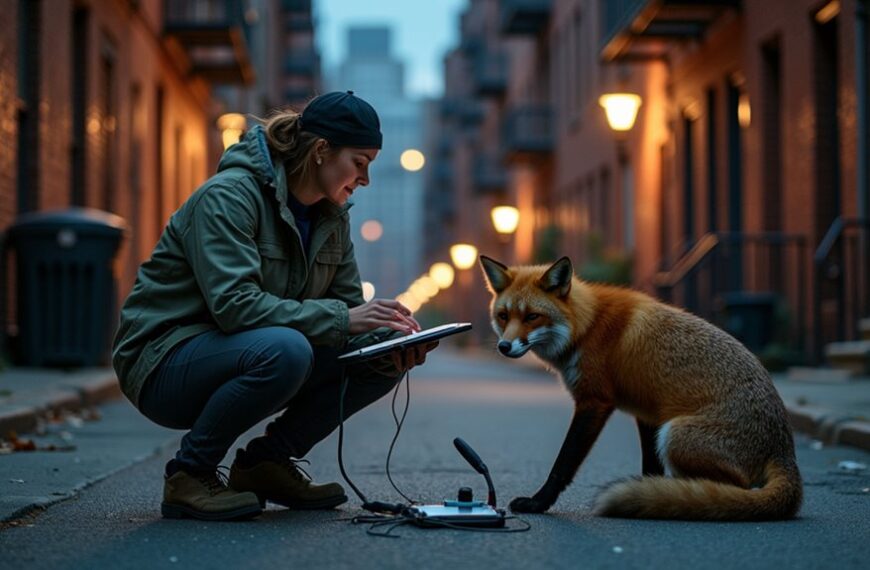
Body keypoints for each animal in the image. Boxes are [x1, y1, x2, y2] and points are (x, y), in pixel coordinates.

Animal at [479, 255, 803, 521]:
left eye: (532, 316)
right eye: (504, 316)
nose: (504, 347)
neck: (586, 326)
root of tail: (785, 447)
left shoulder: (594, 401)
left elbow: (564, 462)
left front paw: (538, 503)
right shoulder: (647, 415)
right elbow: (650, 467)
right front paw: (651, 493)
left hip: (675, 435)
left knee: (738, 488)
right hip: (667, 432)